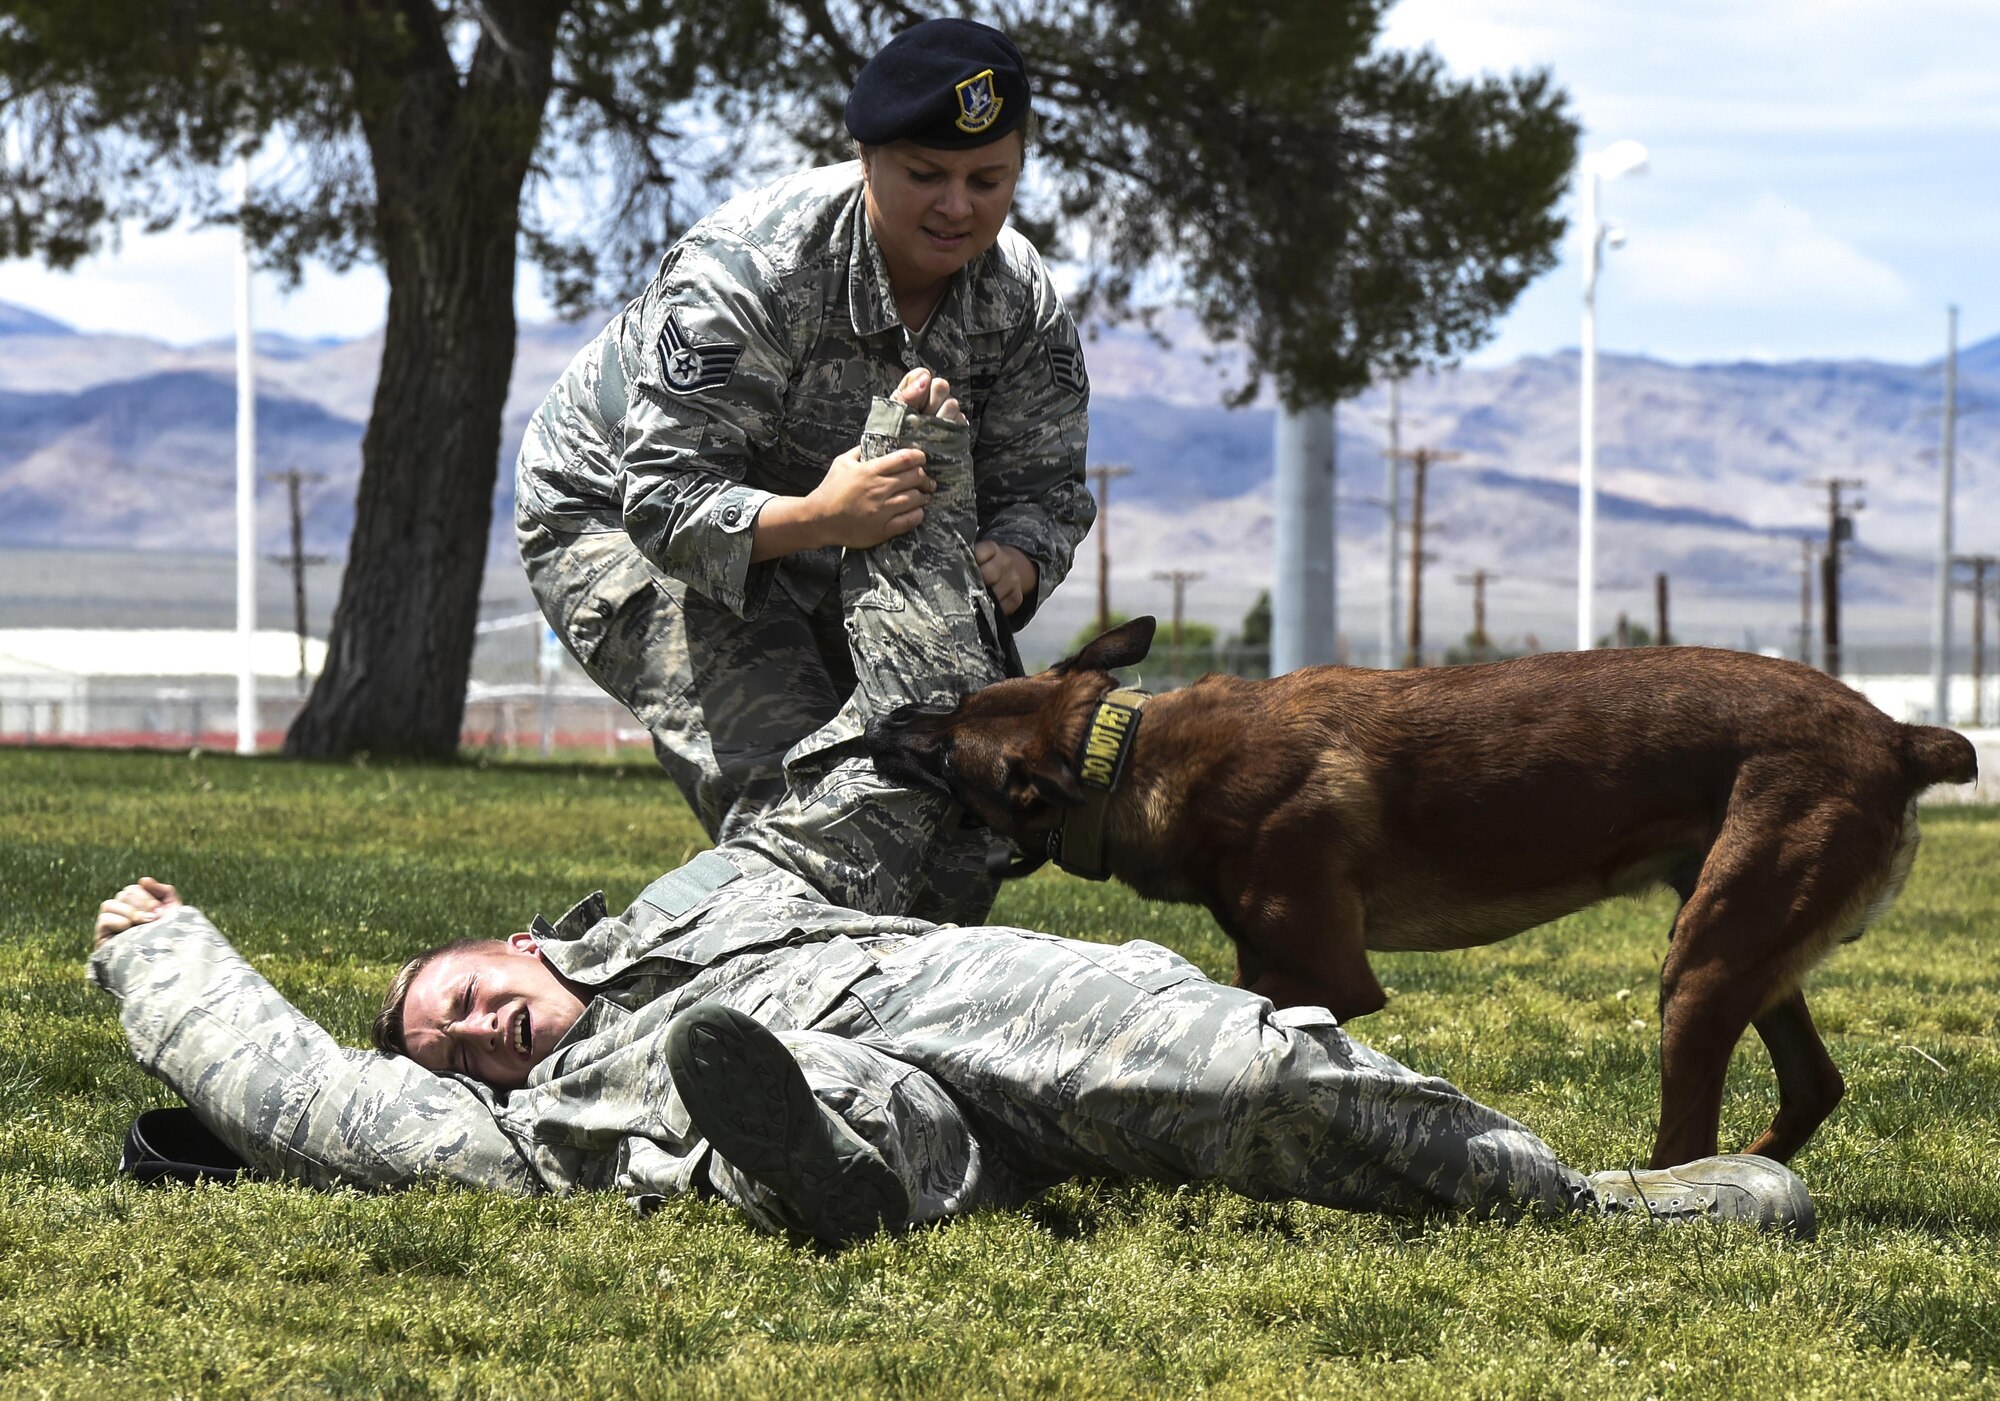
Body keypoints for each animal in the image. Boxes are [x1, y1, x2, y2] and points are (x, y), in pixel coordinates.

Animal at [868, 616, 1976, 1168]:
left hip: (1703, 961)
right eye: (955, 700)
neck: (1132, 753)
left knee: (1689, 1131)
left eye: (947, 751)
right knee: (1813, 1084)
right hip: (1743, 941)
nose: (882, 718)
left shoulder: (1322, 969)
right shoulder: (1265, 960)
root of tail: (1896, 733)